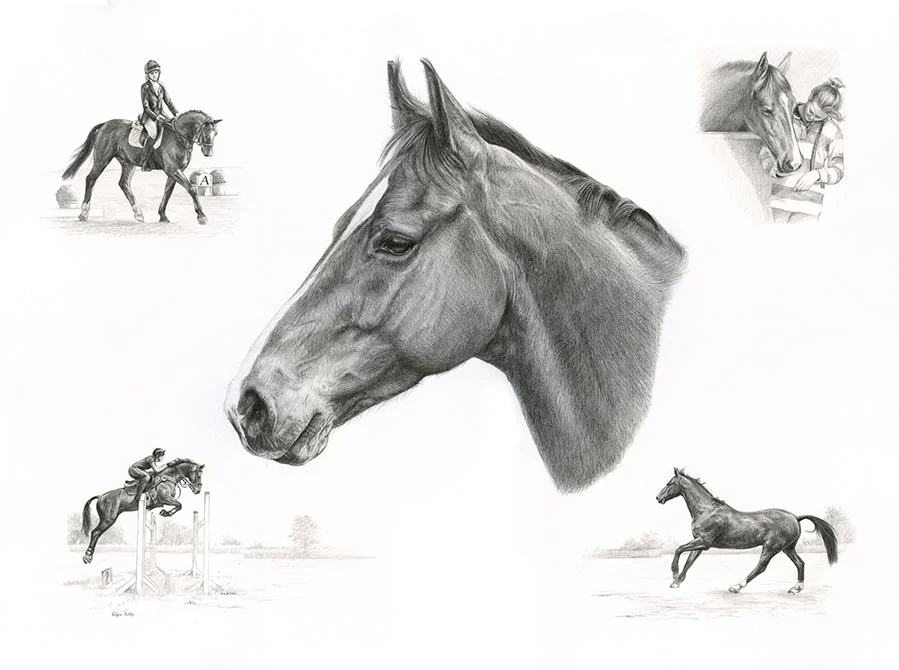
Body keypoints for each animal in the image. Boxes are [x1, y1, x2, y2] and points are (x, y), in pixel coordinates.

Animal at [61, 110, 222, 226]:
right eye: (205, 132)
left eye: (216, 133)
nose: (208, 153)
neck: (178, 137)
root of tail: (105, 124)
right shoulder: (173, 170)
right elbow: (192, 189)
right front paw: (202, 216)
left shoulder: (174, 172)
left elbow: (167, 192)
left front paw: (162, 216)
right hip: (102, 159)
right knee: (91, 179)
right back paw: (84, 214)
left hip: (128, 163)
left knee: (124, 184)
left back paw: (138, 214)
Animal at [656, 468, 838, 594]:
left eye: (670, 483)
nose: (658, 498)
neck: (706, 510)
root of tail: (796, 517)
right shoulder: (700, 544)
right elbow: (689, 561)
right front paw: (677, 581)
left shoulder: (704, 542)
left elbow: (679, 549)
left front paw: (674, 574)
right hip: (787, 548)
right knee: (800, 563)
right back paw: (796, 589)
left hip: (771, 547)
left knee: (761, 567)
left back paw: (736, 586)